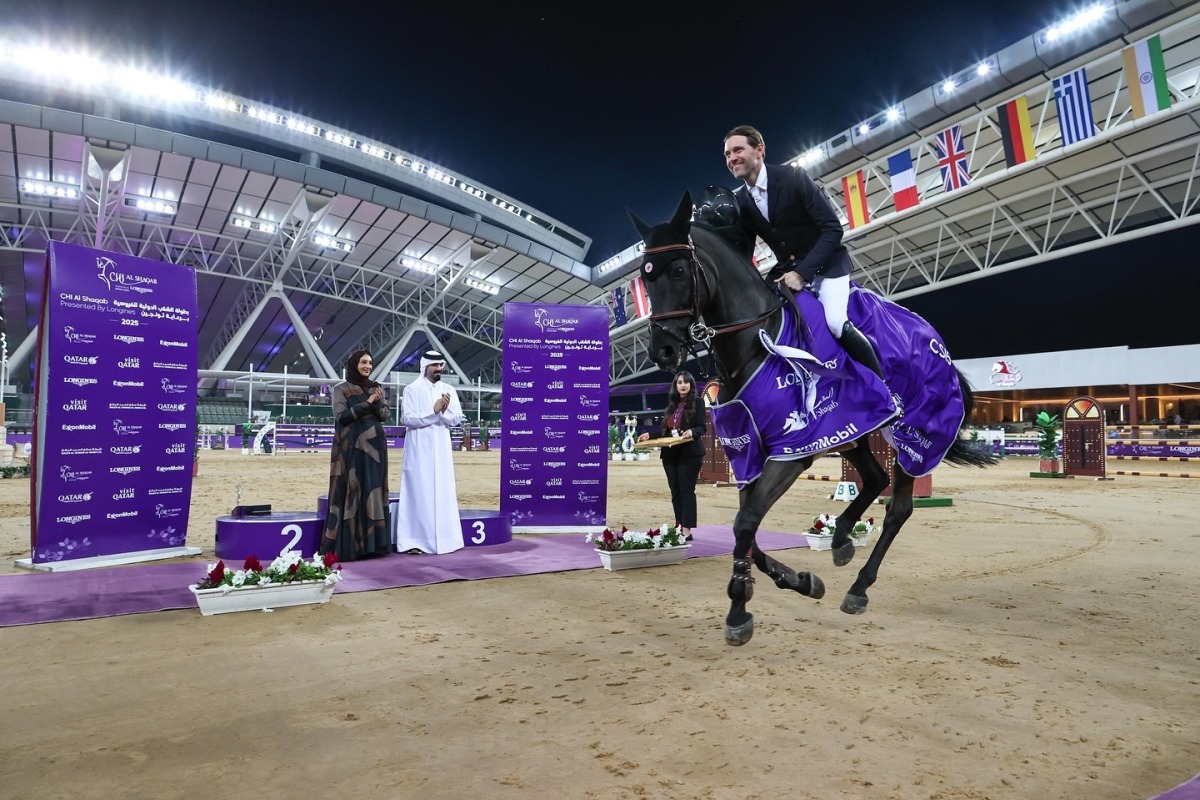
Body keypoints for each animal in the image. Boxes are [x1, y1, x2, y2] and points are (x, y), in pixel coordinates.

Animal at [628, 190, 993, 647]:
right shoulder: (748, 455)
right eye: (645, 280)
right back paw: (840, 539)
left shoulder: (793, 452)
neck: (756, 342)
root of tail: (935, 341)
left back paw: (859, 587)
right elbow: (746, 530)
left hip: (912, 438)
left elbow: (744, 524)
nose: (662, 351)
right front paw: (800, 581)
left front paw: (738, 609)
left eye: (678, 270)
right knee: (874, 478)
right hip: (854, 434)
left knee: (898, 508)